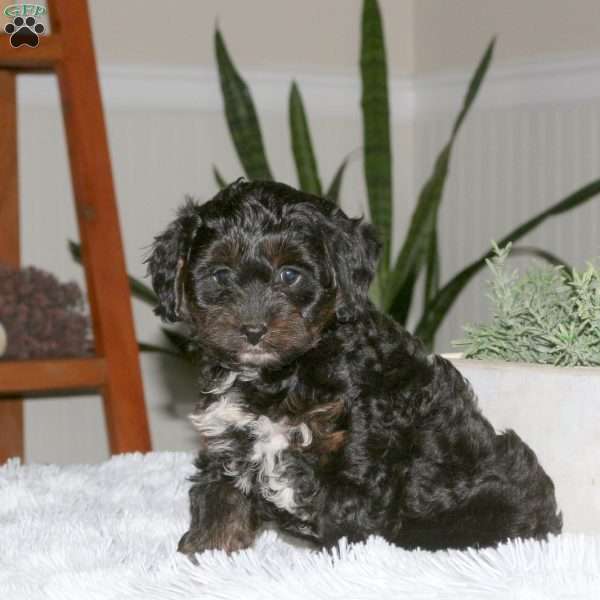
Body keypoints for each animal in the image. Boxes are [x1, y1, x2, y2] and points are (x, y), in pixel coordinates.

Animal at [148, 179, 560, 556]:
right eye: (220, 275)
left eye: (289, 275)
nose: (252, 330)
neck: (282, 375)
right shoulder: (228, 439)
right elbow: (219, 500)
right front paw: (204, 555)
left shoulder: (354, 457)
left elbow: (343, 524)